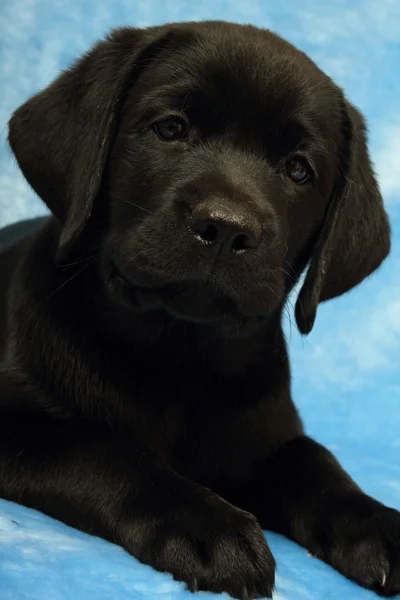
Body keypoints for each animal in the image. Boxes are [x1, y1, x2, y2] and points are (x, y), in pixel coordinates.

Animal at [0, 19, 400, 600]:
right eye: (170, 129)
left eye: (299, 170)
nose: (227, 226)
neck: (179, 351)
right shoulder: (22, 423)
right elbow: (101, 450)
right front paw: (206, 521)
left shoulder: (264, 437)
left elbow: (314, 460)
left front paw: (375, 520)